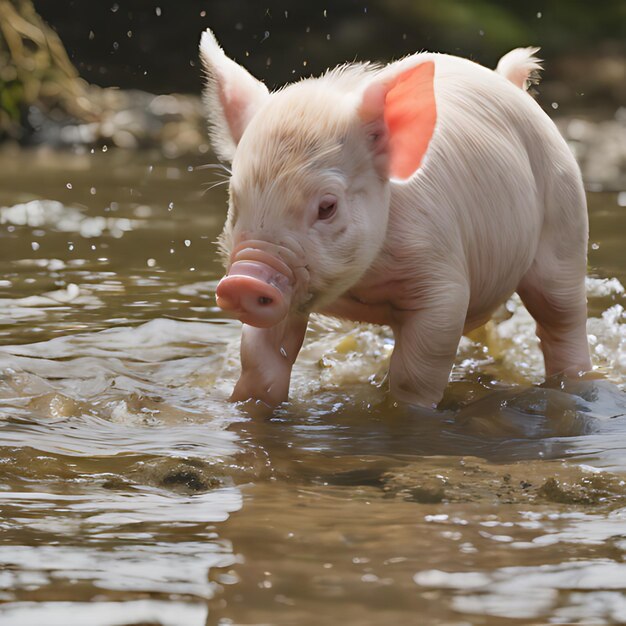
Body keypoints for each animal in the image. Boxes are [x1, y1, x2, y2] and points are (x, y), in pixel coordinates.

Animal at [200, 31, 588, 408]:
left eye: (327, 206)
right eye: (235, 201)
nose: (244, 281)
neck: (361, 286)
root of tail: (507, 80)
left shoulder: (441, 276)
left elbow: (414, 373)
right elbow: (261, 360)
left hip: (565, 225)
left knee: (561, 319)